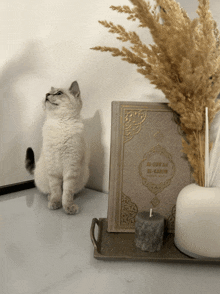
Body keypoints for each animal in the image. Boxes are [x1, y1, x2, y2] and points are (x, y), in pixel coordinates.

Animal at [24, 80, 88, 214]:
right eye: (48, 92)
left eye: (59, 93)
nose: (46, 94)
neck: (60, 123)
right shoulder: (53, 168)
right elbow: (56, 191)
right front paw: (55, 203)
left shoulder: (71, 167)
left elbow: (67, 192)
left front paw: (68, 207)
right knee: (49, 191)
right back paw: (49, 198)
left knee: (72, 191)